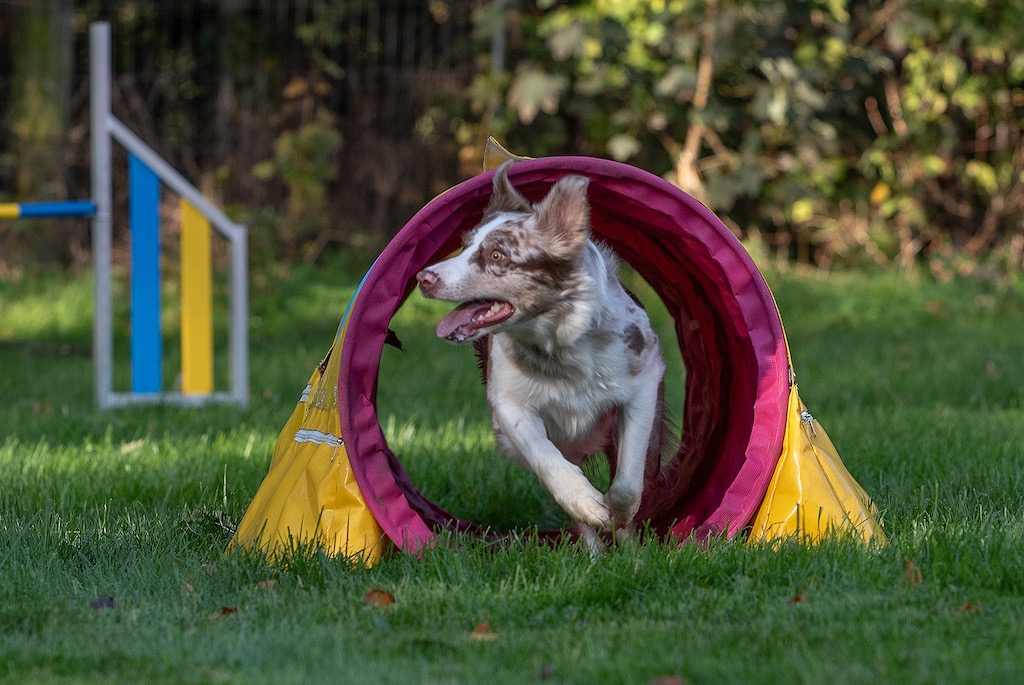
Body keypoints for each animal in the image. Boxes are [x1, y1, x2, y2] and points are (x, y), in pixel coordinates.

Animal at [417, 160, 667, 548]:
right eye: (463, 246)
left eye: (497, 255)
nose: (423, 278)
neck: (558, 343)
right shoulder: (508, 404)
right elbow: (545, 456)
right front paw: (587, 503)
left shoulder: (643, 381)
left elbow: (628, 479)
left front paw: (619, 515)